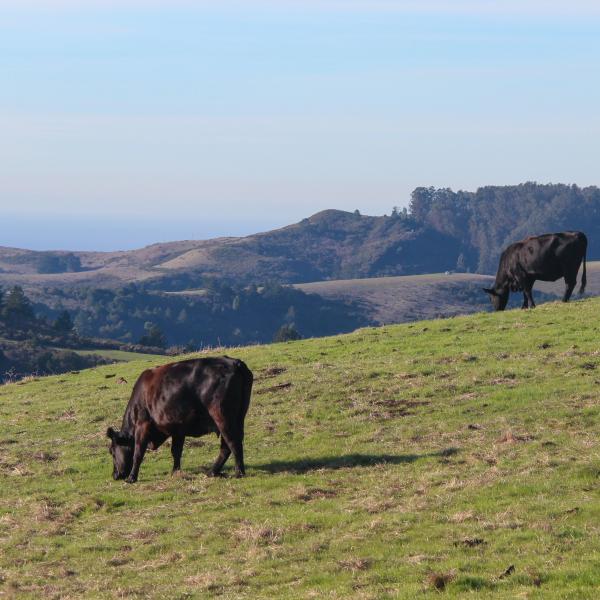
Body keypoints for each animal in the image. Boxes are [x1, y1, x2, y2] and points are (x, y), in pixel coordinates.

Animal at [106, 356, 252, 482]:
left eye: (112, 451)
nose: (115, 475)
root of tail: (235, 362)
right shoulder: (178, 428)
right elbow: (176, 451)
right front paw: (175, 472)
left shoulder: (143, 424)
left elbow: (138, 452)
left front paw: (132, 478)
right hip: (239, 417)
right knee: (227, 445)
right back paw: (213, 472)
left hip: (223, 417)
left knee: (232, 442)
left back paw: (239, 473)